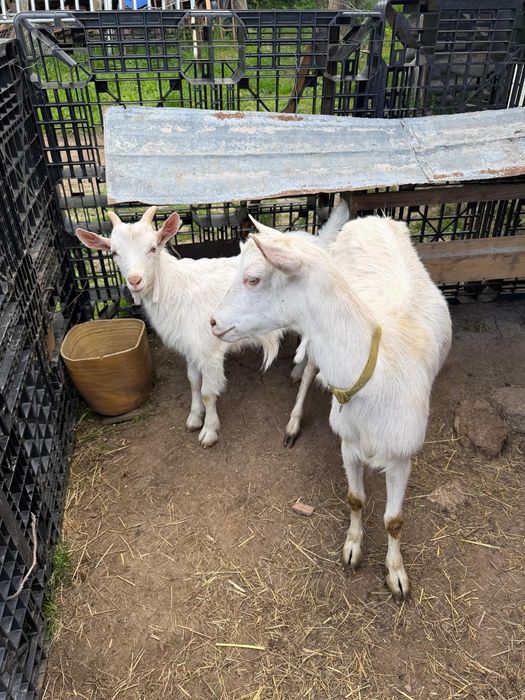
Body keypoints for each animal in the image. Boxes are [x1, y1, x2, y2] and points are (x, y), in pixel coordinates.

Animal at [75, 202, 348, 447]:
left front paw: (209, 431)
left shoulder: (208, 350)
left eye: (153, 248)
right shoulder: (190, 348)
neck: (176, 289)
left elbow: (208, 392)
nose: (135, 280)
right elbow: (193, 382)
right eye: (114, 253)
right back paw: (297, 370)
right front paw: (195, 418)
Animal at [210, 215, 452, 599]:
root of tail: (373, 218)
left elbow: (394, 521)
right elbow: (355, 498)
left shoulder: (402, 454)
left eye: (253, 278)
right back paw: (293, 422)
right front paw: (352, 548)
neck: (376, 371)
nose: (213, 322)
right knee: (310, 367)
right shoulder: (348, 444)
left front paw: (397, 574)